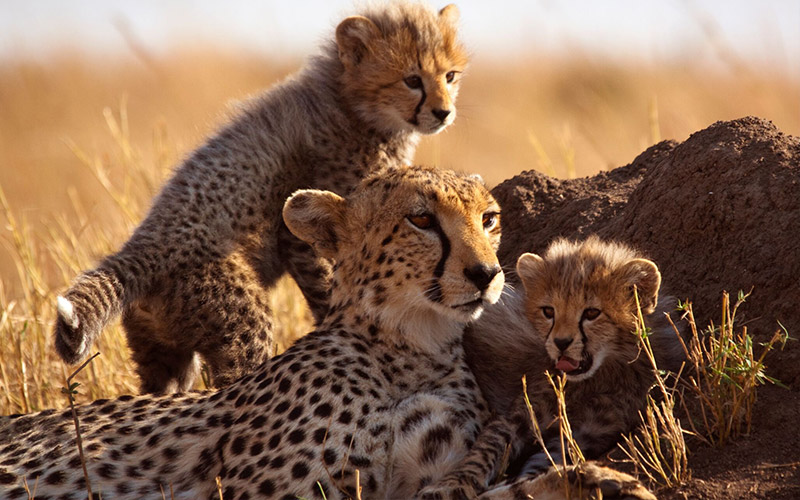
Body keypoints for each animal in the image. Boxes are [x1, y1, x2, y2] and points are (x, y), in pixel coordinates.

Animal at [53, 2, 466, 394]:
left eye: (450, 76)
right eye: (412, 80)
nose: (444, 112)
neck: (349, 102)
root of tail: (140, 247)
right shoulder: (300, 231)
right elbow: (329, 284)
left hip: (164, 354)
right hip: (241, 321)